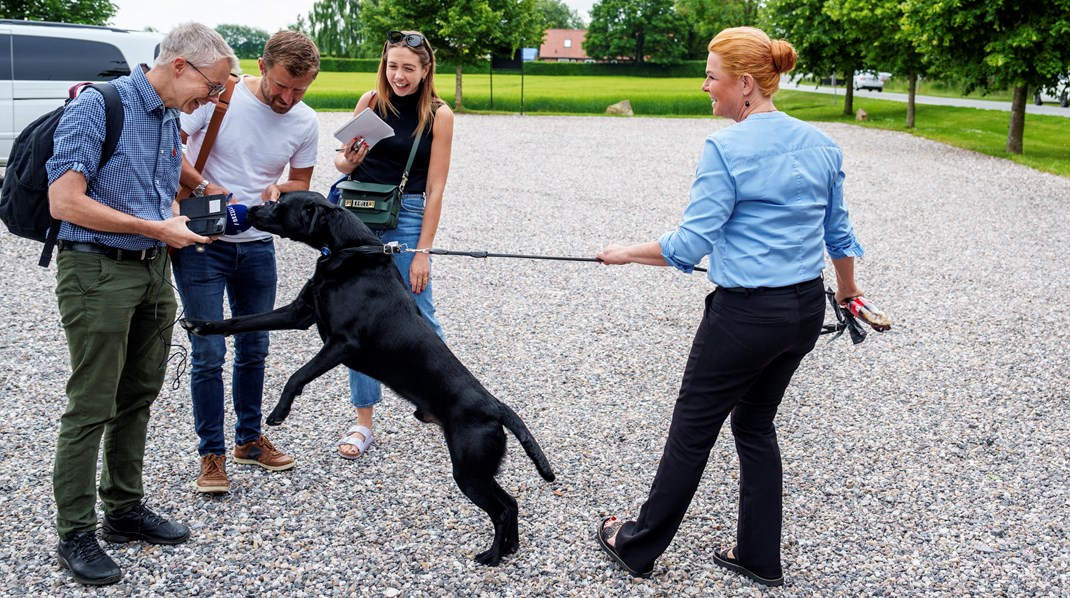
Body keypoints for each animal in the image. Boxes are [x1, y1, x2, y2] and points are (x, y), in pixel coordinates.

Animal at [179, 190, 556, 564]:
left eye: (280, 204)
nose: (252, 209)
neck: (349, 250)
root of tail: (495, 407)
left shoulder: (343, 343)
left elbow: (296, 376)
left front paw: (279, 412)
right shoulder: (299, 313)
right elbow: (240, 322)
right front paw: (200, 325)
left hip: (469, 469)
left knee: (503, 508)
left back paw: (492, 555)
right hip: (478, 470)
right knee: (511, 504)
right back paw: (510, 548)